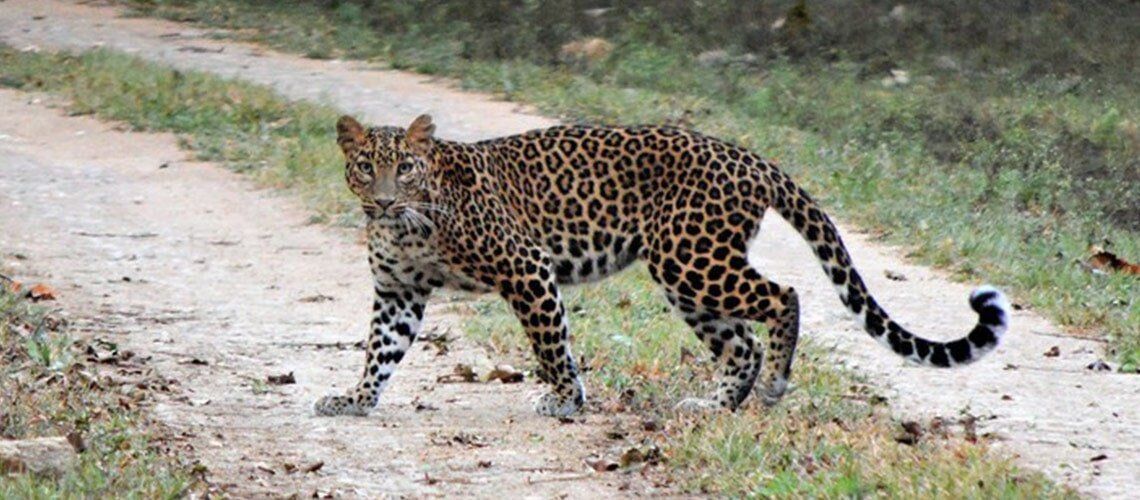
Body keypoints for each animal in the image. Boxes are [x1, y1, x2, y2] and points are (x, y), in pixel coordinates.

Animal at [313, 114, 1010, 417]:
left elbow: (550, 344)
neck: (407, 224)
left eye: (405, 166)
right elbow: (380, 350)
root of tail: (748, 156)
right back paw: (716, 405)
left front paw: (565, 400)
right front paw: (355, 399)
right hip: (688, 278)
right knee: (740, 344)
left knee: (784, 296)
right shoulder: (398, 293)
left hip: (690, 260)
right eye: (365, 167)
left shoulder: (526, 268)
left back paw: (774, 388)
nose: (383, 200)